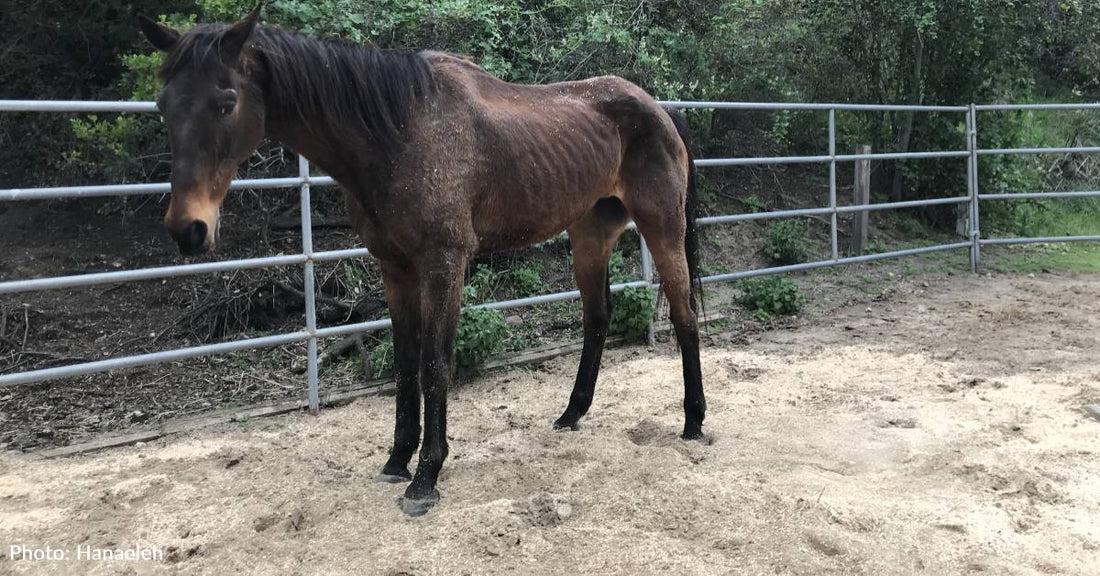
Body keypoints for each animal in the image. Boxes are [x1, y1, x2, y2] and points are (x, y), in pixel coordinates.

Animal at [139, 5, 706, 516]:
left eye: (226, 101)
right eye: (164, 105)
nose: (188, 229)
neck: (401, 131)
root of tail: (659, 109)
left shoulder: (443, 266)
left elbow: (435, 363)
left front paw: (426, 477)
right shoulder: (395, 268)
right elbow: (406, 363)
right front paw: (396, 460)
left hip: (662, 227)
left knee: (684, 314)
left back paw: (694, 422)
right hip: (589, 234)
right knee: (597, 317)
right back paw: (571, 414)